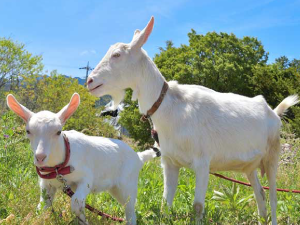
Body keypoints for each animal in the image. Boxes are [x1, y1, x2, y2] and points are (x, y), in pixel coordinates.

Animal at [6, 92, 157, 225]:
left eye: (58, 132)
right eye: (28, 131)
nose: (40, 157)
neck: (59, 166)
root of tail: (139, 157)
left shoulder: (86, 178)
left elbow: (76, 203)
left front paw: (84, 222)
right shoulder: (47, 185)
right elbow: (43, 207)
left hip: (128, 184)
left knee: (130, 208)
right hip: (115, 188)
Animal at [86, 16, 298, 224]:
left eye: (117, 55)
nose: (90, 81)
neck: (170, 106)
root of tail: (273, 112)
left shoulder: (203, 162)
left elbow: (197, 207)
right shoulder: (169, 162)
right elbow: (165, 203)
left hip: (272, 155)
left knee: (273, 197)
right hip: (250, 166)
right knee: (260, 193)